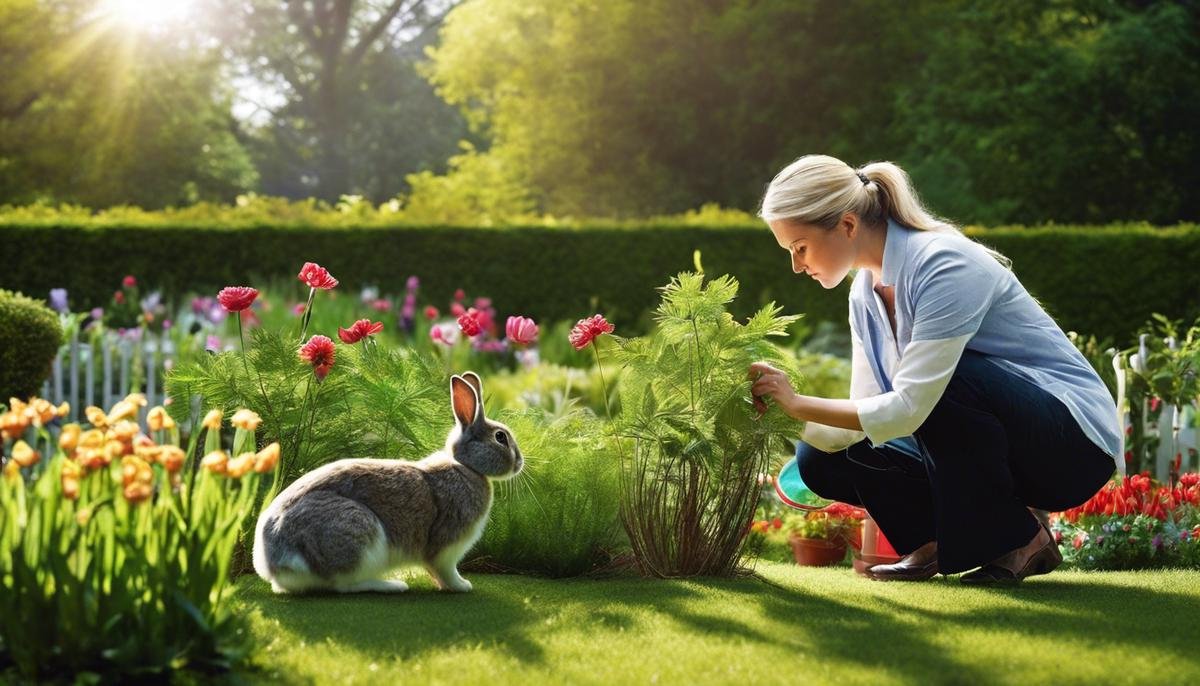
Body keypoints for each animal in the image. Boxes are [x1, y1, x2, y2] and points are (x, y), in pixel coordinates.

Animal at [253, 371, 520, 592]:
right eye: (500, 438)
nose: (520, 463)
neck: (466, 466)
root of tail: (272, 563)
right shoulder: (446, 547)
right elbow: (445, 570)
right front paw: (462, 586)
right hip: (359, 535)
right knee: (343, 585)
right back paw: (392, 585)